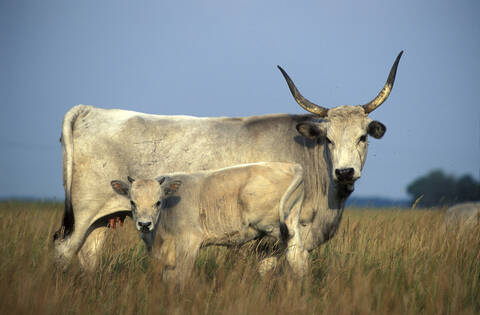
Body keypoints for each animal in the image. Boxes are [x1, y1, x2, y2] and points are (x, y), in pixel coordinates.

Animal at [111, 163, 308, 284]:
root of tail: (289, 165)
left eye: (158, 202)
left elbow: (181, 276)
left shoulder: (189, 242)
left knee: (296, 256)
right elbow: (168, 277)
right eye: (132, 202)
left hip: (276, 228)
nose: (144, 224)